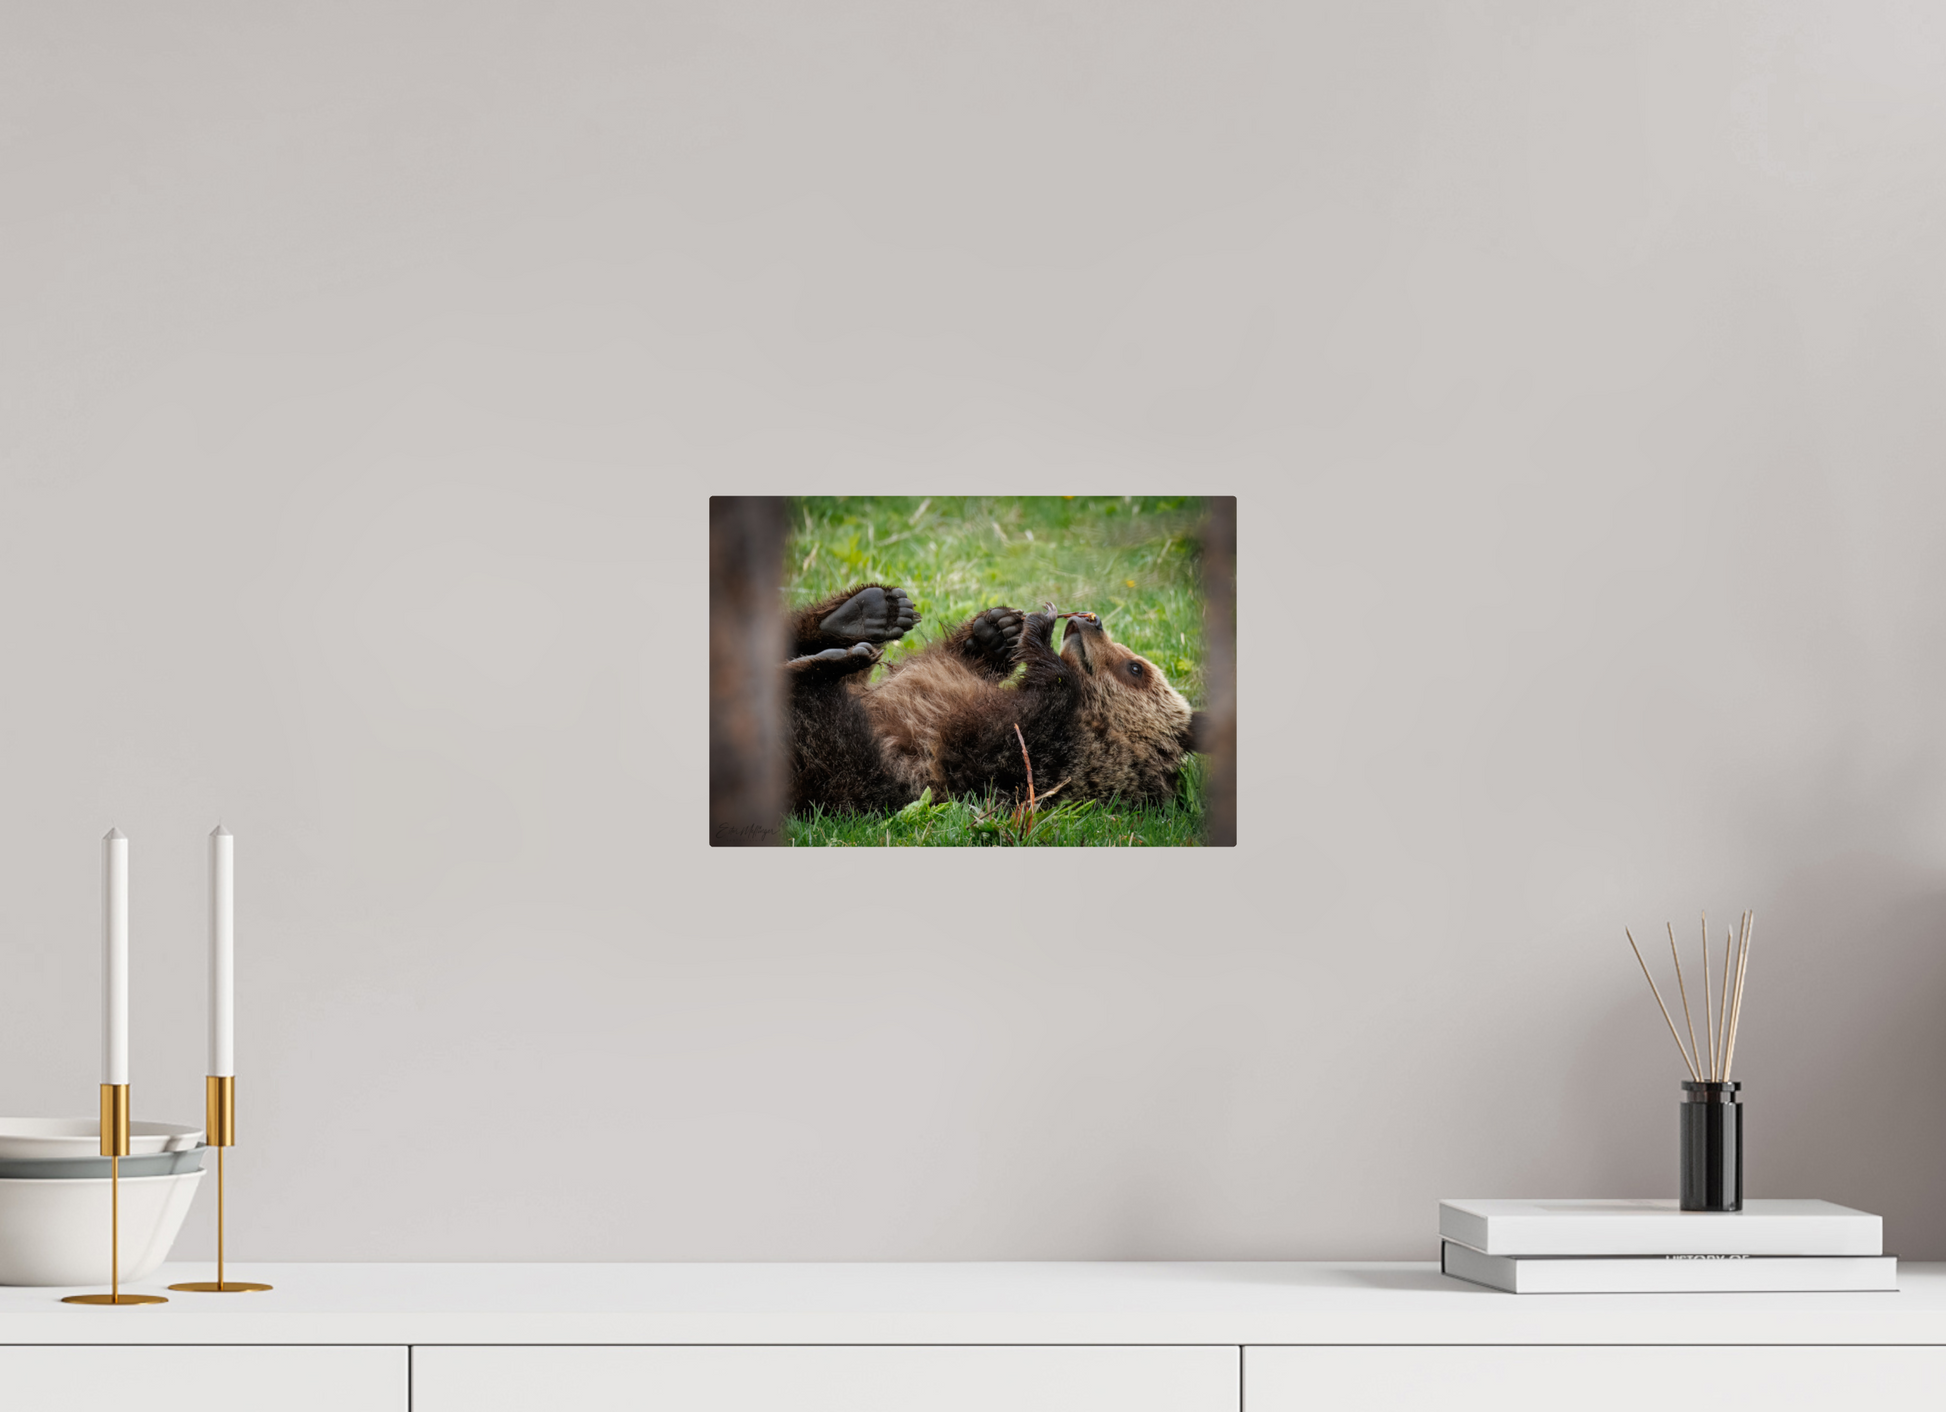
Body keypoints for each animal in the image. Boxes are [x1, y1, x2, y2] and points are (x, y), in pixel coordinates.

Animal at [784, 582, 1204, 816]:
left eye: (1136, 668)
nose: (1091, 621)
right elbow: (950, 663)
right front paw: (996, 631)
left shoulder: (1010, 755)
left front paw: (1038, 628)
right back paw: (865, 614)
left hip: (837, 760)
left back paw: (834, 657)